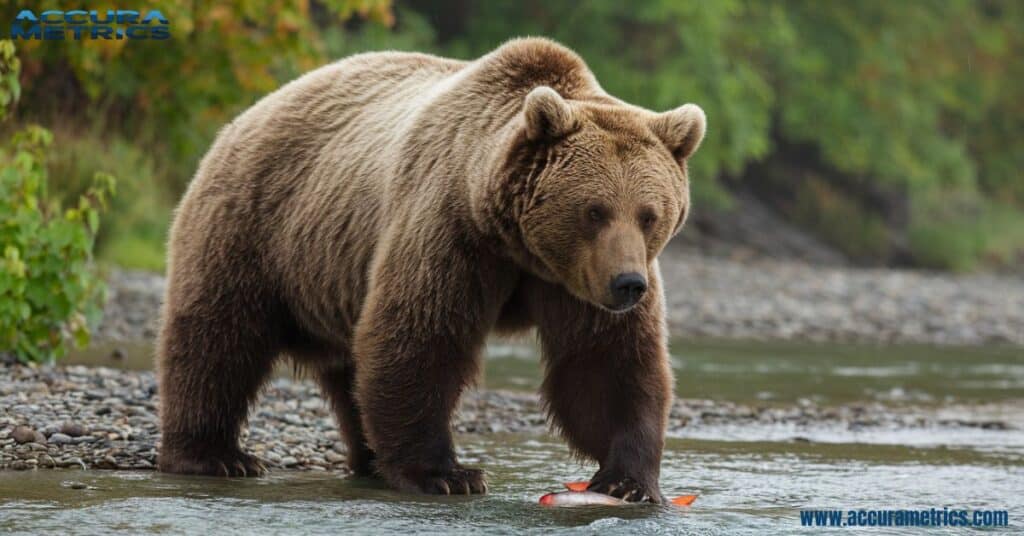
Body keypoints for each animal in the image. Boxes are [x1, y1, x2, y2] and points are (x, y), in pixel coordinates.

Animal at [157, 38, 704, 504]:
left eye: (649, 214)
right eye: (595, 210)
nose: (628, 284)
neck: (517, 243)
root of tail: (248, 113)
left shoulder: (572, 283)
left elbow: (605, 362)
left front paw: (627, 480)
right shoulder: (452, 229)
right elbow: (420, 338)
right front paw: (448, 474)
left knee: (350, 369)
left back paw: (368, 459)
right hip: (256, 225)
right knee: (219, 337)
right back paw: (216, 455)